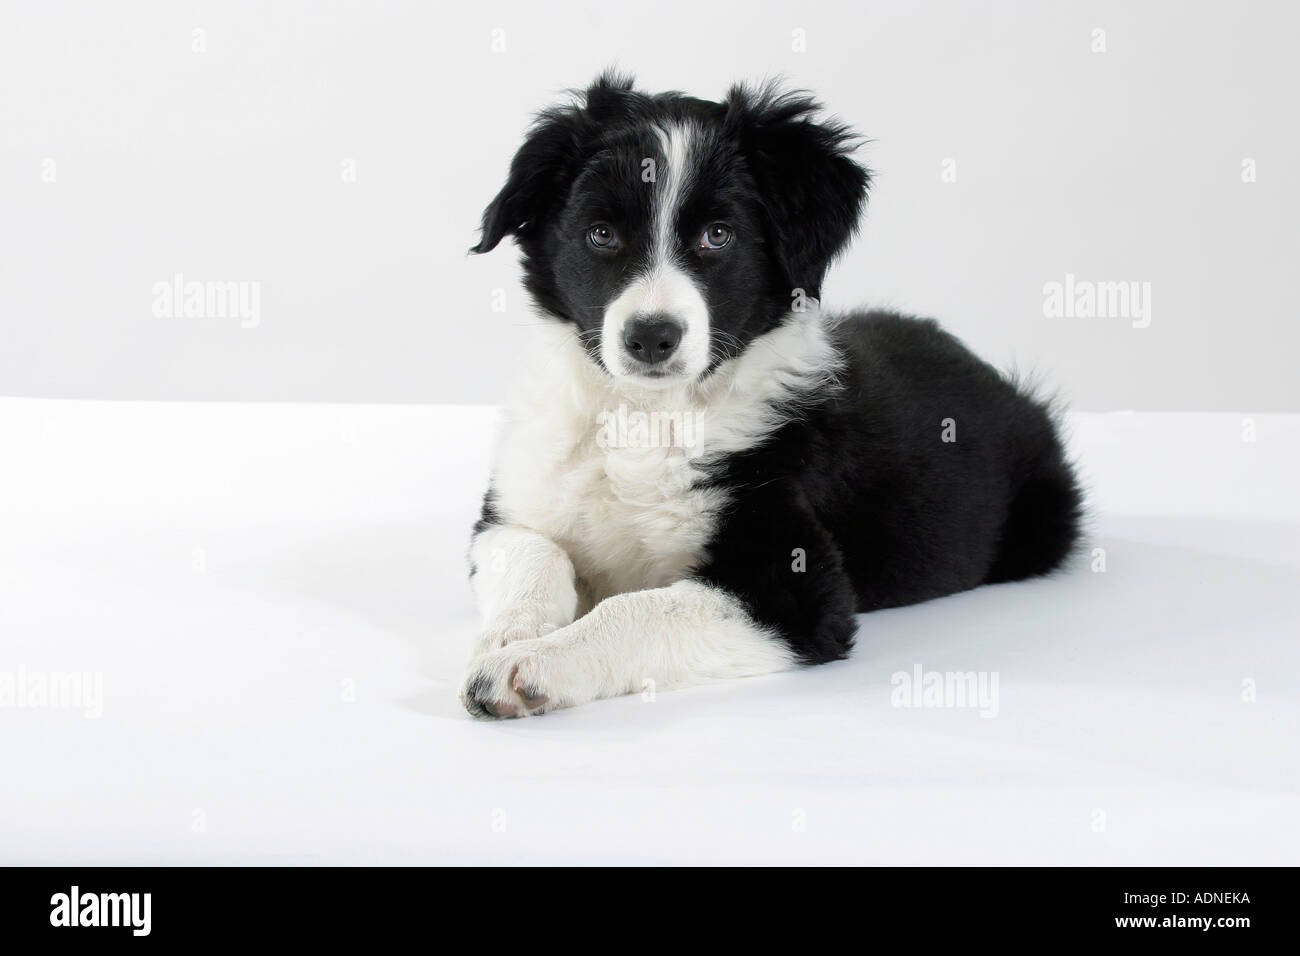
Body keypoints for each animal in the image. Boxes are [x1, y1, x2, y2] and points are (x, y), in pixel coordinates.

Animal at [454, 72, 1076, 717]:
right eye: (601, 235)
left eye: (717, 236)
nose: (651, 337)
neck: (645, 415)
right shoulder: (510, 512)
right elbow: (537, 555)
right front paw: (511, 633)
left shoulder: (799, 587)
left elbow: (637, 609)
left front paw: (531, 666)